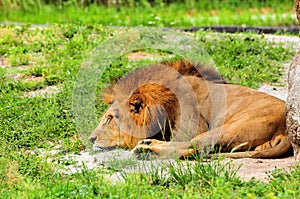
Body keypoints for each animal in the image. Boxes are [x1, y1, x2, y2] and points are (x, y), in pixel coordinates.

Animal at [90, 59, 292, 159]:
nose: (91, 138)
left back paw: (146, 150)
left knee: (193, 147)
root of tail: (286, 130)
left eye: (109, 119)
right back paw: (146, 145)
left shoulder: (195, 125)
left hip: (226, 129)